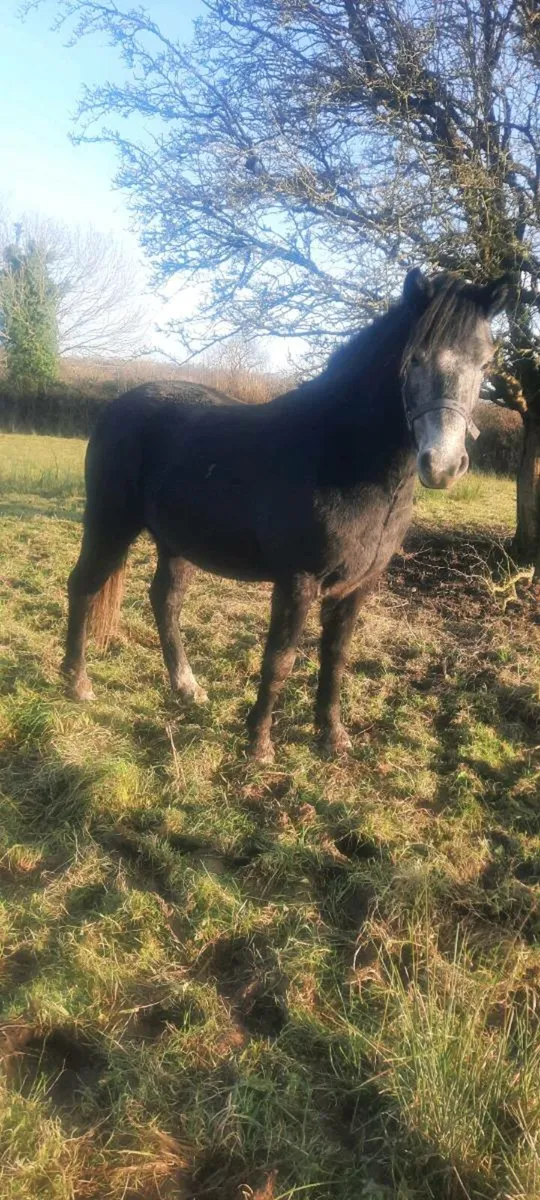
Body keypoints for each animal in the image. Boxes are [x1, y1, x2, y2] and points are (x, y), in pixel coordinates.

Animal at [62, 269, 507, 761]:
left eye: (486, 364)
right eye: (414, 359)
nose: (442, 465)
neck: (340, 458)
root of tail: (120, 406)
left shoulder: (357, 586)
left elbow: (335, 659)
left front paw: (333, 737)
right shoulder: (298, 581)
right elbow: (280, 659)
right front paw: (258, 745)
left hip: (175, 542)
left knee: (165, 601)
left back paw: (187, 687)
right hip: (109, 524)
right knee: (84, 586)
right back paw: (77, 683)